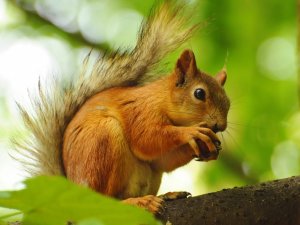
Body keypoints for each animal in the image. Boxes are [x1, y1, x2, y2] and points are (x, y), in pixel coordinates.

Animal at [13, 1, 230, 213]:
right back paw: (138, 202)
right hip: (103, 142)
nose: (221, 126)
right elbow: (147, 139)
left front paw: (209, 148)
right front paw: (192, 133)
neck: (161, 100)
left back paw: (165, 196)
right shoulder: (140, 111)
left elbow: (163, 160)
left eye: (228, 102)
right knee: (105, 200)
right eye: (199, 94)